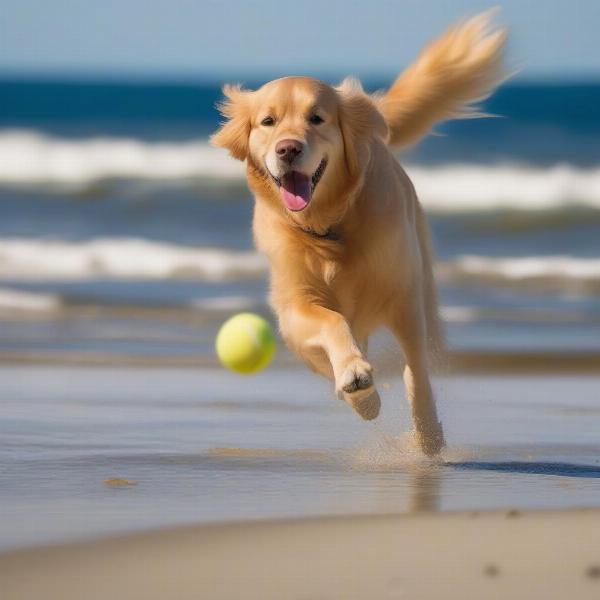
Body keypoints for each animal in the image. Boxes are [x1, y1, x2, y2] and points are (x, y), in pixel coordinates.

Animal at [211, 11, 506, 454]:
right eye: (268, 121)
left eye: (317, 118)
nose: (287, 149)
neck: (329, 226)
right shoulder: (296, 306)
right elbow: (332, 324)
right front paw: (357, 385)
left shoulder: (403, 296)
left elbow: (416, 373)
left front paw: (427, 434)